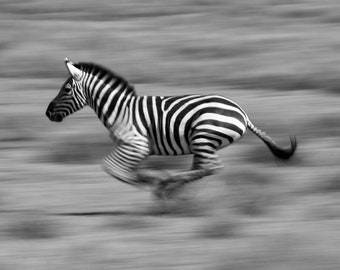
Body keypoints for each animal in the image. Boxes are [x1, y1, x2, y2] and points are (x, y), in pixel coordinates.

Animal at [46, 58, 296, 199]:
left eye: (66, 89)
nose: (47, 113)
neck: (120, 109)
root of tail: (242, 113)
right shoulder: (137, 149)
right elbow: (121, 170)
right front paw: (149, 179)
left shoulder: (136, 144)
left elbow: (111, 168)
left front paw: (149, 182)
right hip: (202, 143)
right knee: (201, 168)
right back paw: (171, 185)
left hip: (203, 137)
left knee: (212, 167)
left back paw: (166, 184)